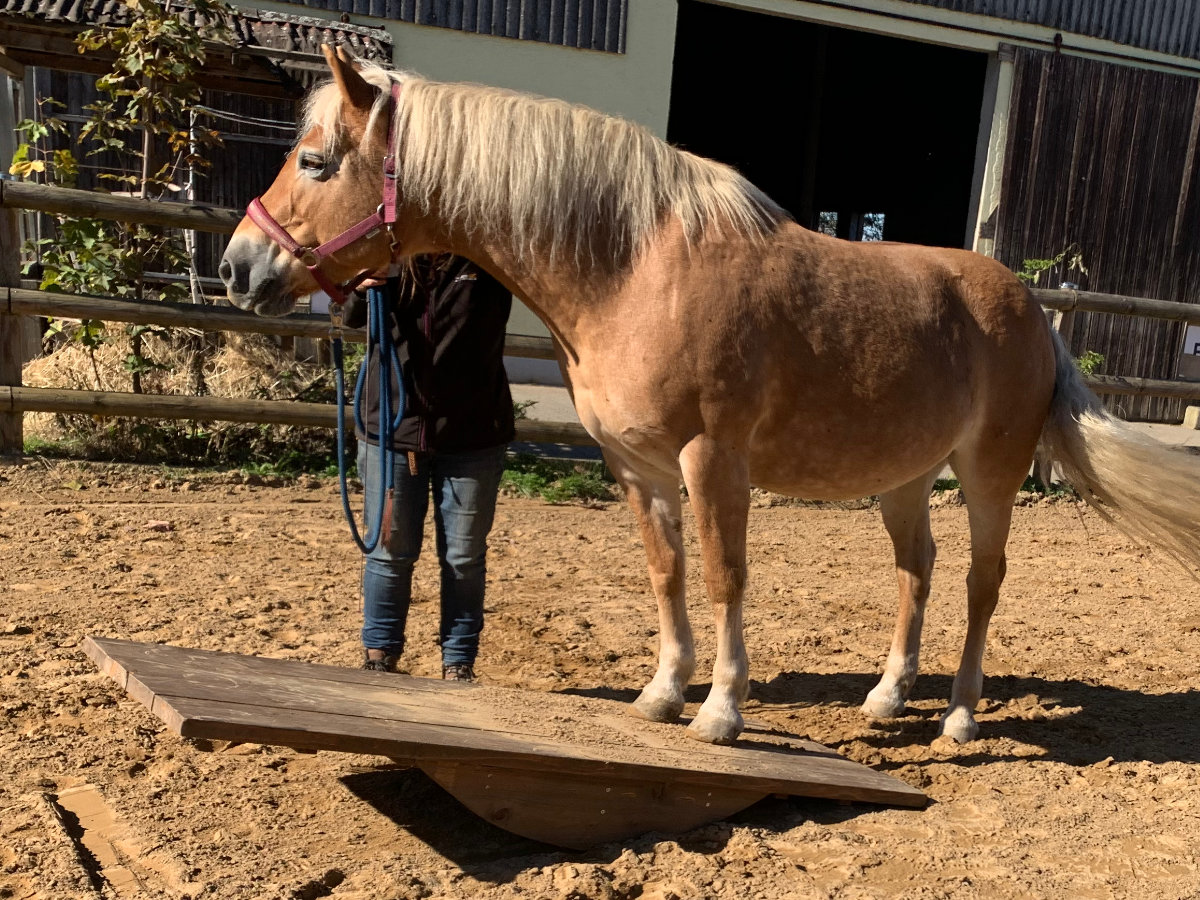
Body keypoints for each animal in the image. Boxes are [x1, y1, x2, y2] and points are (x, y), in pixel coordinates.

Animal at [220, 46, 1200, 746]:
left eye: (315, 161)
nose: (237, 268)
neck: (633, 269)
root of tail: (1031, 308)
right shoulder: (636, 464)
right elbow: (668, 572)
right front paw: (662, 694)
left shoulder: (711, 458)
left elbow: (727, 573)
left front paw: (721, 711)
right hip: (906, 478)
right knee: (915, 568)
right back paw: (888, 697)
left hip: (989, 475)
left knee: (980, 580)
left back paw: (958, 714)